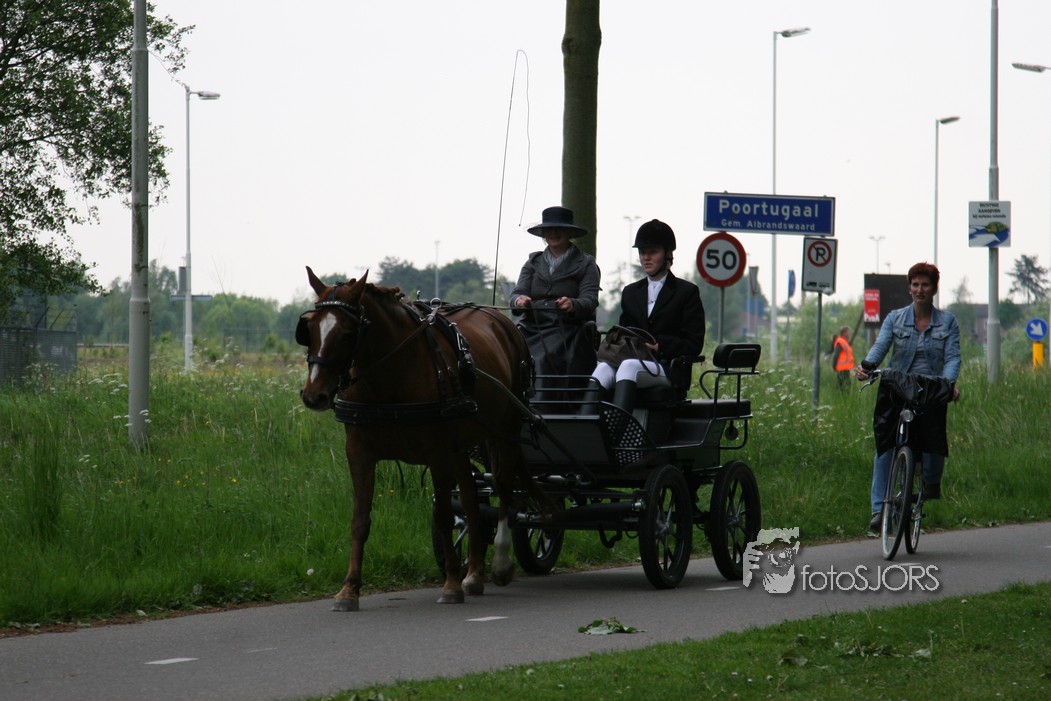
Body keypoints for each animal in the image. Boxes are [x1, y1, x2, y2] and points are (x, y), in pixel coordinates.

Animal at [297, 266, 541, 611]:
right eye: (310, 329)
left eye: (347, 333)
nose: (314, 395)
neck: (391, 375)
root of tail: (503, 321)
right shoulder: (358, 452)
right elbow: (360, 520)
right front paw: (349, 590)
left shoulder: (437, 452)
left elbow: (443, 515)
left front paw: (451, 585)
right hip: (462, 445)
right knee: (471, 501)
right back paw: (473, 575)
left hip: (503, 431)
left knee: (505, 489)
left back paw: (501, 565)